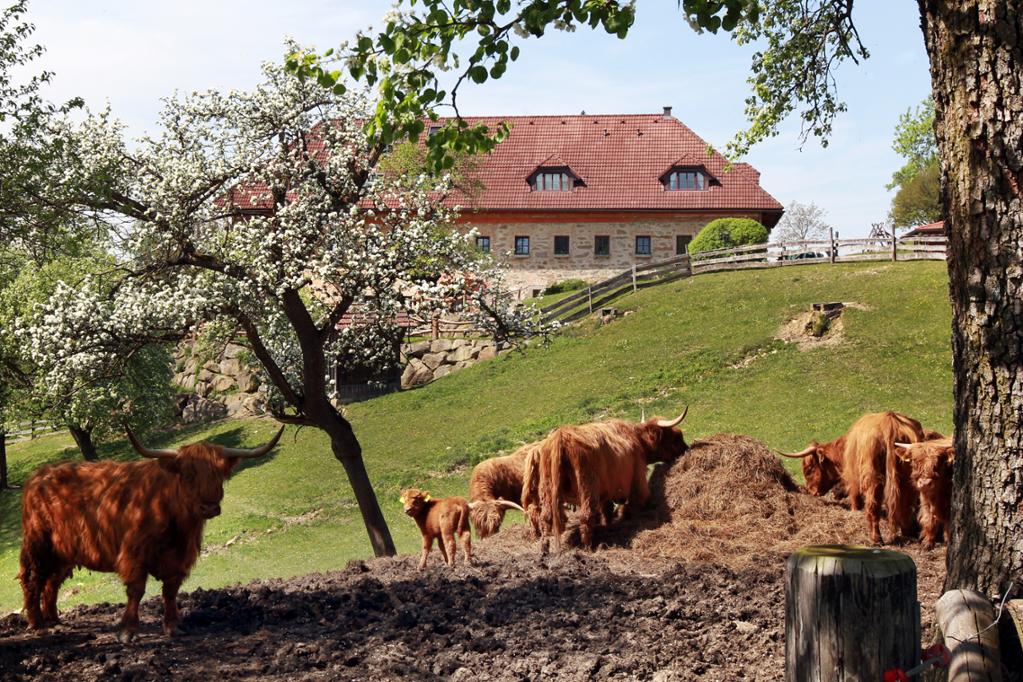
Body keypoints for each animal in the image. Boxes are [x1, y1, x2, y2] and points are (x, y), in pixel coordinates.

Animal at [19, 425, 284, 641]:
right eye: (188, 474)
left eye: (220, 474)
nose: (209, 507)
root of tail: (38, 475)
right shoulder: (134, 555)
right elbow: (136, 590)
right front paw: (128, 631)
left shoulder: (180, 559)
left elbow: (170, 591)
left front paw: (173, 627)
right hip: (39, 544)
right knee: (33, 580)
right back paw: (38, 625)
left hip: (64, 552)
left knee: (52, 582)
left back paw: (54, 620)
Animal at [528, 408, 690, 550]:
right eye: (676, 437)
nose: (686, 449)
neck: (636, 439)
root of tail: (561, 437)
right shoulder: (638, 478)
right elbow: (635, 502)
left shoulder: (606, 491)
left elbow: (607, 510)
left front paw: (608, 525)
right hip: (587, 486)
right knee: (586, 516)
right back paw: (589, 547)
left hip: (548, 489)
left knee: (546, 518)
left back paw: (544, 549)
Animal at [780, 411, 925, 544]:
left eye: (808, 469)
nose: (810, 490)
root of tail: (890, 422)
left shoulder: (853, 476)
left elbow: (854, 496)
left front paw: (854, 511)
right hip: (908, 478)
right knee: (906, 503)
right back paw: (907, 532)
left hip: (872, 476)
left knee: (873, 504)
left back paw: (876, 538)